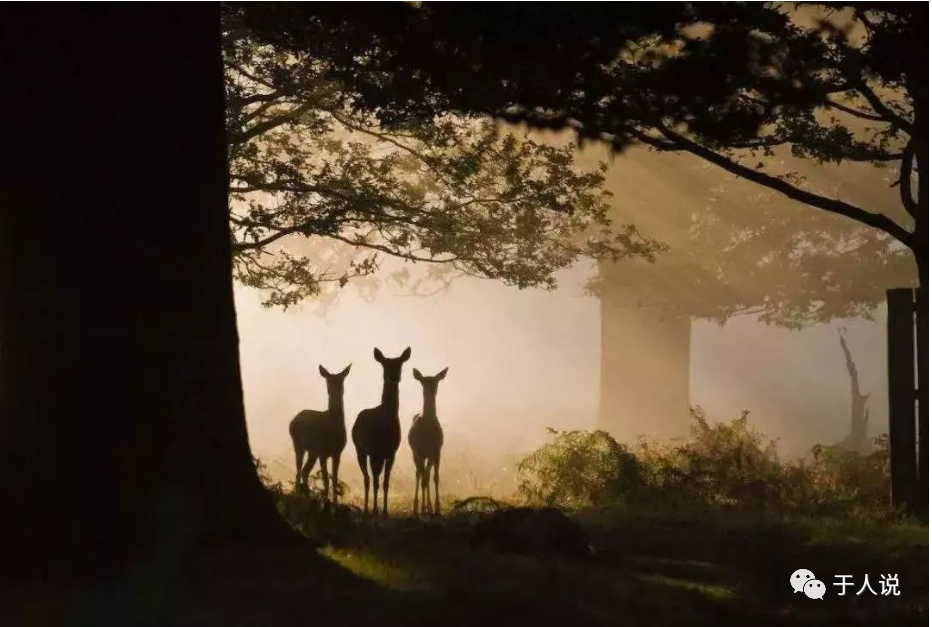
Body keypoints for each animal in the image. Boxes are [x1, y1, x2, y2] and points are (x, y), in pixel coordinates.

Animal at [288, 364, 350, 506]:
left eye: (341, 380)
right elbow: (326, 478)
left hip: (313, 452)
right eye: (328, 381)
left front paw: (335, 502)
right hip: (298, 444)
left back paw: (306, 494)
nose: (333, 390)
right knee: (299, 470)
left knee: (305, 471)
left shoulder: (337, 452)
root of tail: (292, 421)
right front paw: (326, 500)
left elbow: (334, 478)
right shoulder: (323, 452)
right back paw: (297, 494)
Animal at [352, 348, 410, 516]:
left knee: (373, 478)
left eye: (400, 364)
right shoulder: (374, 450)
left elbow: (386, 482)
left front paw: (384, 511)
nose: (394, 376)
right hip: (360, 449)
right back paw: (366, 509)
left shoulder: (391, 453)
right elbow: (376, 481)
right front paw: (375, 510)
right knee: (367, 479)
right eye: (384, 364)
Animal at [408, 368, 448, 516]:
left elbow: (435, 477)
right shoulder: (419, 450)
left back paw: (428, 507)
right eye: (422, 381)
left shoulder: (437, 450)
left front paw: (437, 508)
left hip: (429, 456)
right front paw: (422, 508)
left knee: (427, 474)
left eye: (436, 381)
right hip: (415, 453)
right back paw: (418, 507)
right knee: (419, 474)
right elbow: (423, 477)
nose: (431, 389)